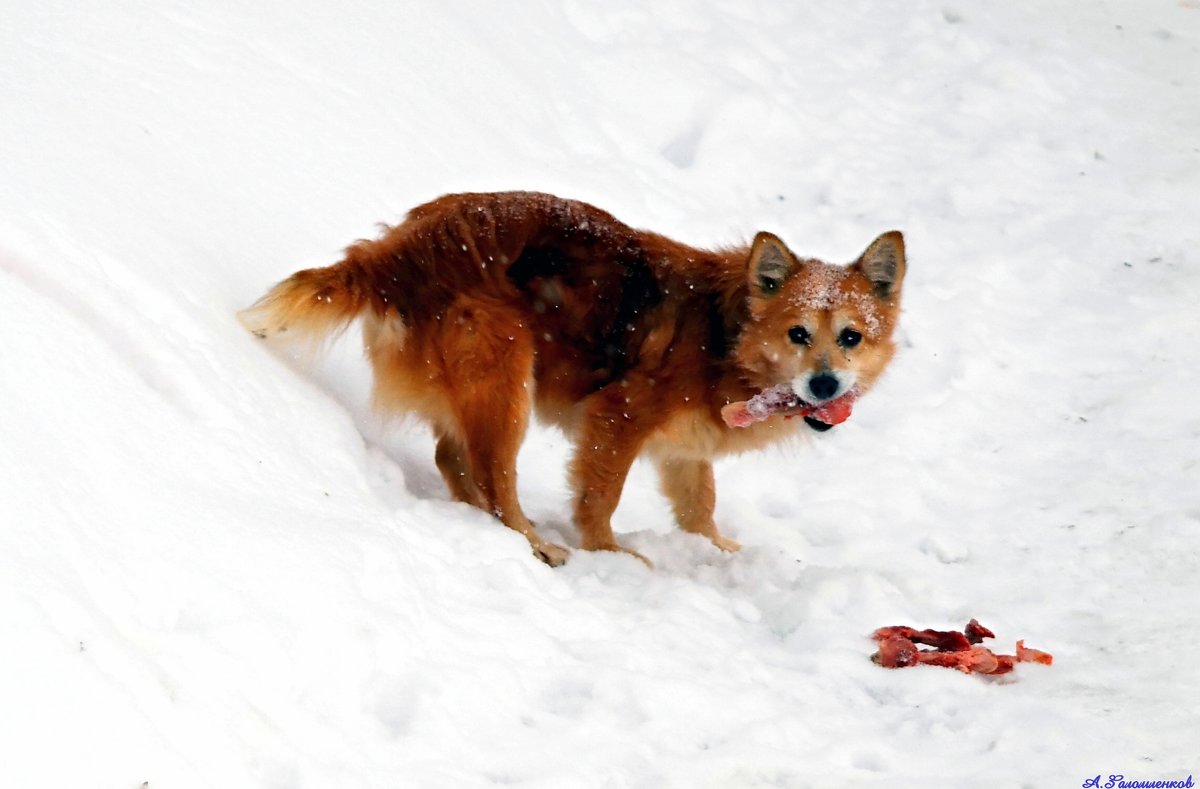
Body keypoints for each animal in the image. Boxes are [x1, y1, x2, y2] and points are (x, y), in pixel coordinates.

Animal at [238, 191, 902, 565]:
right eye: (798, 335)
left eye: (851, 337)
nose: (825, 387)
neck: (726, 336)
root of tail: (403, 249)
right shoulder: (620, 415)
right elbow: (600, 497)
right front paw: (609, 555)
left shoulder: (686, 450)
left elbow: (699, 506)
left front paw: (717, 551)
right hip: (507, 375)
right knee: (493, 479)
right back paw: (531, 544)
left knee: (454, 460)